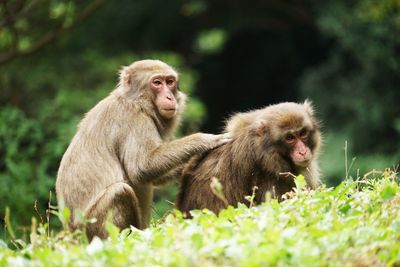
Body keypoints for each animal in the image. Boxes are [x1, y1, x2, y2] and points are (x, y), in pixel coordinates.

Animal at [56, 59, 231, 240]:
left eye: (170, 82)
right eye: (157, 83)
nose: (169, 97)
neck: (136, 101)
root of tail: (71, 233)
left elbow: (153, 177)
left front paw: (189, 165)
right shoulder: (135, 119)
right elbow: (141, 168)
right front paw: (205, 140)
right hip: (90, 226)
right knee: (119, 191)